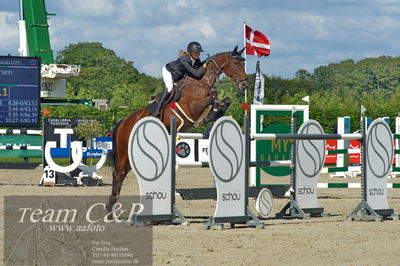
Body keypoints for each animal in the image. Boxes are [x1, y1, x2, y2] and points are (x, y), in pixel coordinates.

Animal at [106, 45, 250, 212]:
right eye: (236, 63)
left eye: (243, 63)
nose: (245, 85)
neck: (202, 81)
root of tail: (123, 121)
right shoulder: (193, 107)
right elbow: (213, 99)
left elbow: (225, 100)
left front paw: (214, 113)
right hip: (124, 152)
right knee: (118, 174)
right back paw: (109, 209)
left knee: (124, 174)